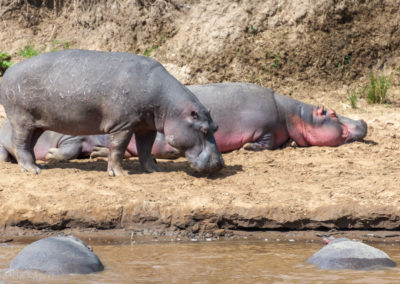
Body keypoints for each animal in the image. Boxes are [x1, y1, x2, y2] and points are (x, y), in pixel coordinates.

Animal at [0, 49, 223, 175]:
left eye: (216, 127)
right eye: (203, 130)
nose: (220, 163)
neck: (170, 106)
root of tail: (8, 72)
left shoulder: (146, 126)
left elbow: (145, 149)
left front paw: (154, 170)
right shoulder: (123, 124)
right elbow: (118, 148)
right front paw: (120, 174)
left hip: (38, 122)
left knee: (29, 144)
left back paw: (37, 165)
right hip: (21, 120)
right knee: (20, 143)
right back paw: (33, 170)